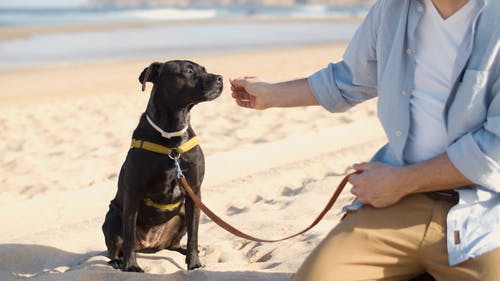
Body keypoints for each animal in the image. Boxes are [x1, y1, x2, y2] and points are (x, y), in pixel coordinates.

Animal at [103, 59, 223, 272]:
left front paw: (194, 263)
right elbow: (128, 235)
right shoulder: (133, 193)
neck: (172, 135)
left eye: (204, 69)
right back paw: (118, 261)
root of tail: (150, 244)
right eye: (188, 71)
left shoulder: (194, 192)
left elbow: (193, 235)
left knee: (174, 244)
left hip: (182, 214)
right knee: (117, 246)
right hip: (112, 217)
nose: (220, 78)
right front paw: (131, 266)